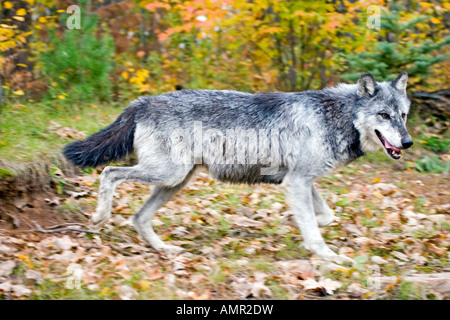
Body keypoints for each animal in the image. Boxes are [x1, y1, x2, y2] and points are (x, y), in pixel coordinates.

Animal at [64, 73, 414, 264]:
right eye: (383, 115)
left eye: (403, 115)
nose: (408, 142)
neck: (334, 116)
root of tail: (142, 101)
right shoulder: (298, 181)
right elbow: (316, 232)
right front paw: (330, 257)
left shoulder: (298, 181)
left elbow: (325, 216)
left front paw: (295, 225)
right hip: (168, 174)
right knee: (109, 174)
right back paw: (99, 217)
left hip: (175, 182)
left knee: (138, 217)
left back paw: (165, 250)